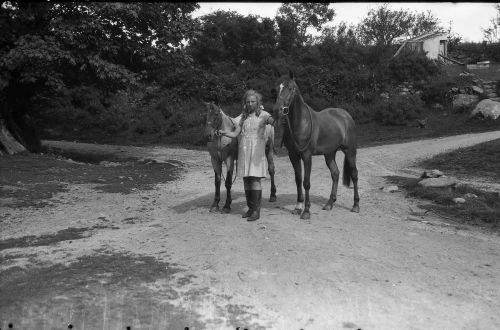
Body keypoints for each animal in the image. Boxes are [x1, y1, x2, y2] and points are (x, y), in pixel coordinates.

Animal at [274, 73, 360, 220]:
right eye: (277, 88)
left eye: (291, 88)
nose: (278, 109)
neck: (301, 123)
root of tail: (346, 116)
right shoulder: (293, 156)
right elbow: (298, 180)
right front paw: (298, 207)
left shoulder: (307, 156)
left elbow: (306, 182)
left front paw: (306, 211)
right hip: (329, 154)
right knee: (335, 174)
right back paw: (329, 204)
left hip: (350, 152)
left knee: (354, 175)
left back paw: (355, 205)